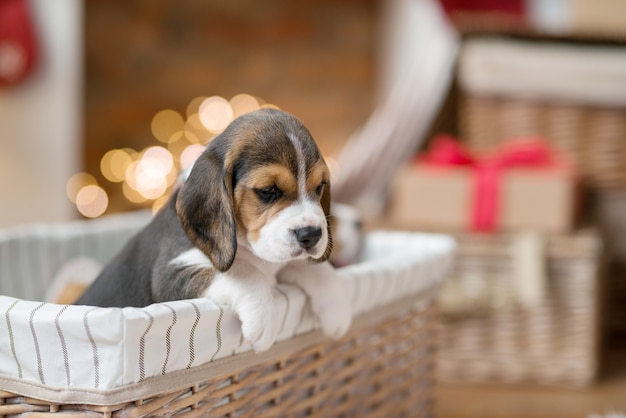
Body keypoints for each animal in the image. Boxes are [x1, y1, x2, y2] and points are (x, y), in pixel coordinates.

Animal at [75, 108, 352, 352]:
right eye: (267, 191)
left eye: (320, 187)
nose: (312, 235)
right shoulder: (169, 275)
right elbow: (245, 272)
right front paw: (263, 319)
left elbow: (313, 269)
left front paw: (337, 305)